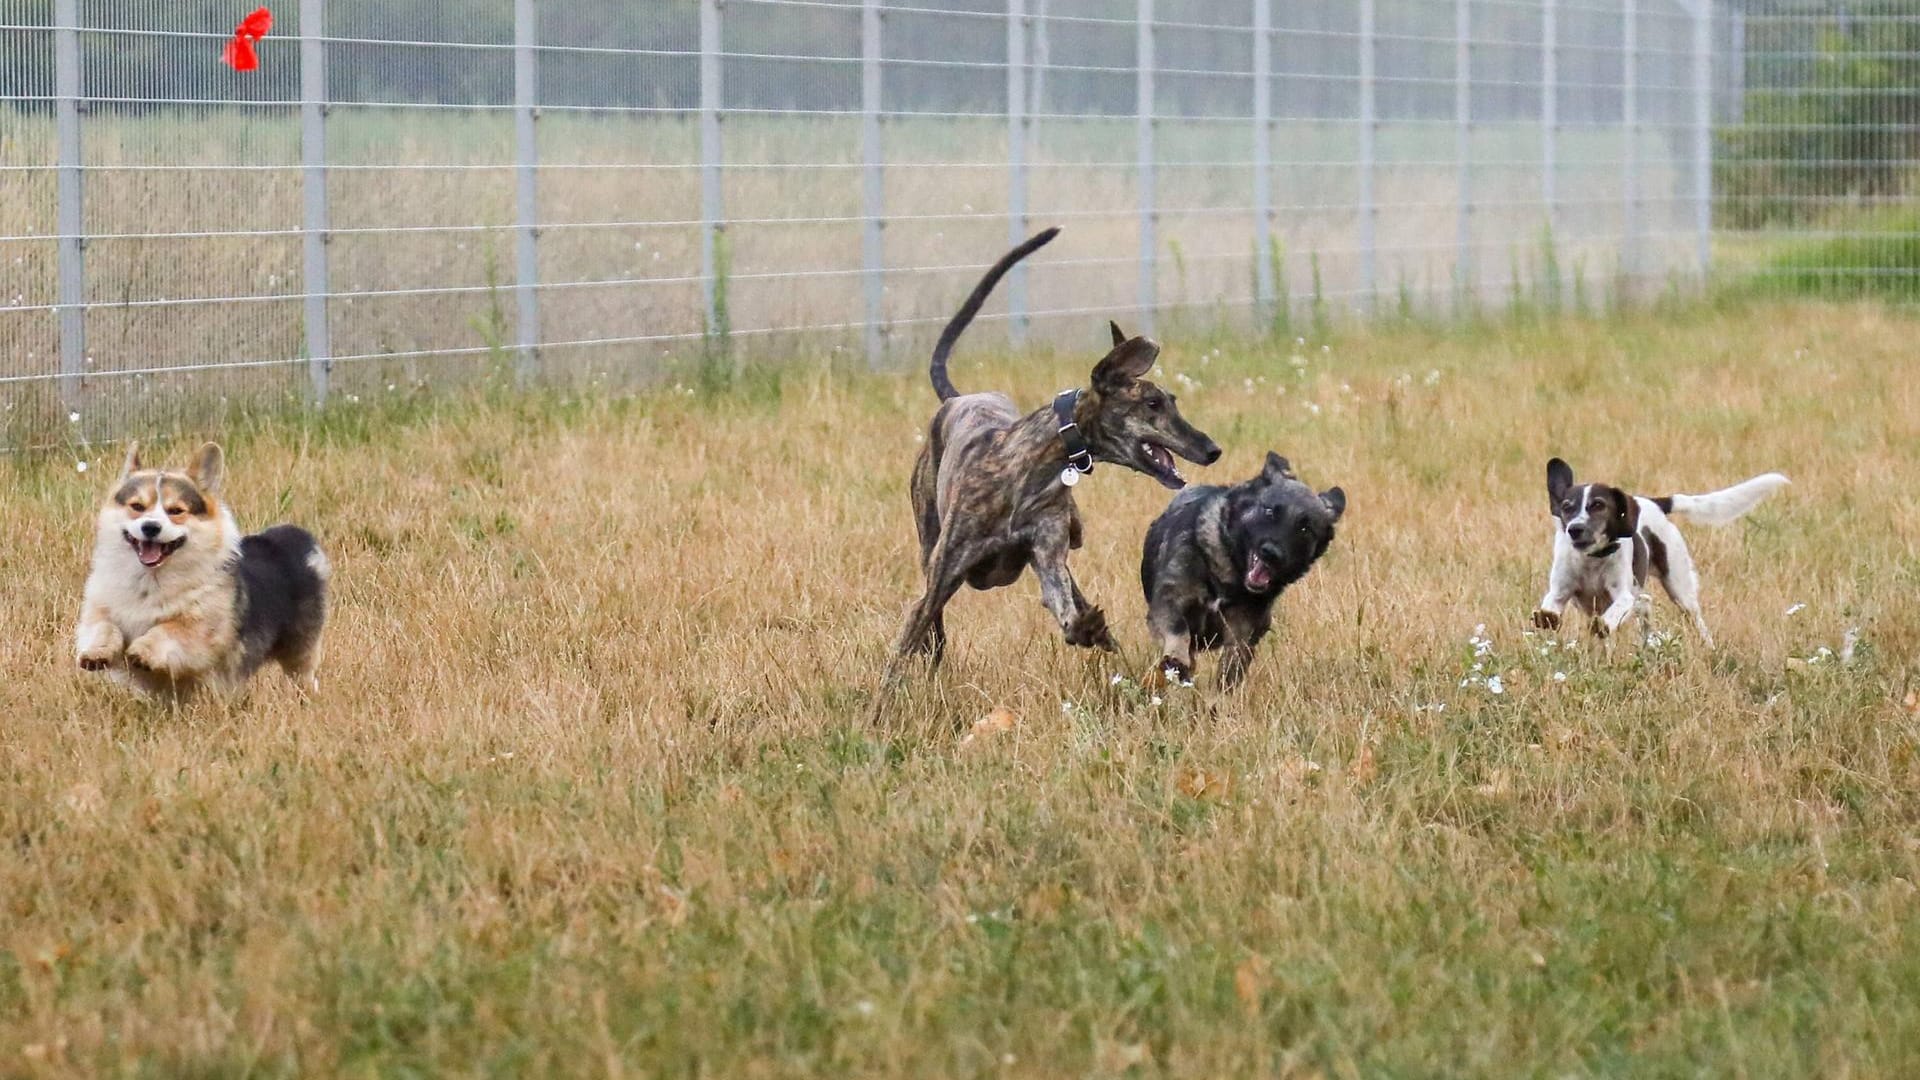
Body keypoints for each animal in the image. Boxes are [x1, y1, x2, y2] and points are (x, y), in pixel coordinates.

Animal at [879, 228, 1221, 687]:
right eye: (1152, 404)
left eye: (1172, 401)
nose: (1212, 449)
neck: (1032, 466)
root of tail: (957, 396)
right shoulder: (938, 580)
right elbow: (904, 649)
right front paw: (884, 701)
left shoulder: (1049, 554)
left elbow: (1065, 606)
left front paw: (1089, 628)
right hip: (929, 544)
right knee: (932, 631)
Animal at [1144, 449, 1344, 684]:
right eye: (1270, 512)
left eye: (1305, 528)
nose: (1271, 553)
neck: (1228, 572)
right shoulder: (1169, 600)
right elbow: (1178, 631)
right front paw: (1177, 659)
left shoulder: (1242, 633)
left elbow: (1230, 669)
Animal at [1528, 451, 1781, 641]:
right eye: (1567, 507)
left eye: (1598, 505)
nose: (1575, 529)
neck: (1592, 559)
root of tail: (1656, 503)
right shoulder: (1560, 592)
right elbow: (1550, 609)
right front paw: (1547, 618)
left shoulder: (1623, 596)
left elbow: (1613, 614)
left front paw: (1603, 626)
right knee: (1646, 604)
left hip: (1680, 590)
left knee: (1695, 621)